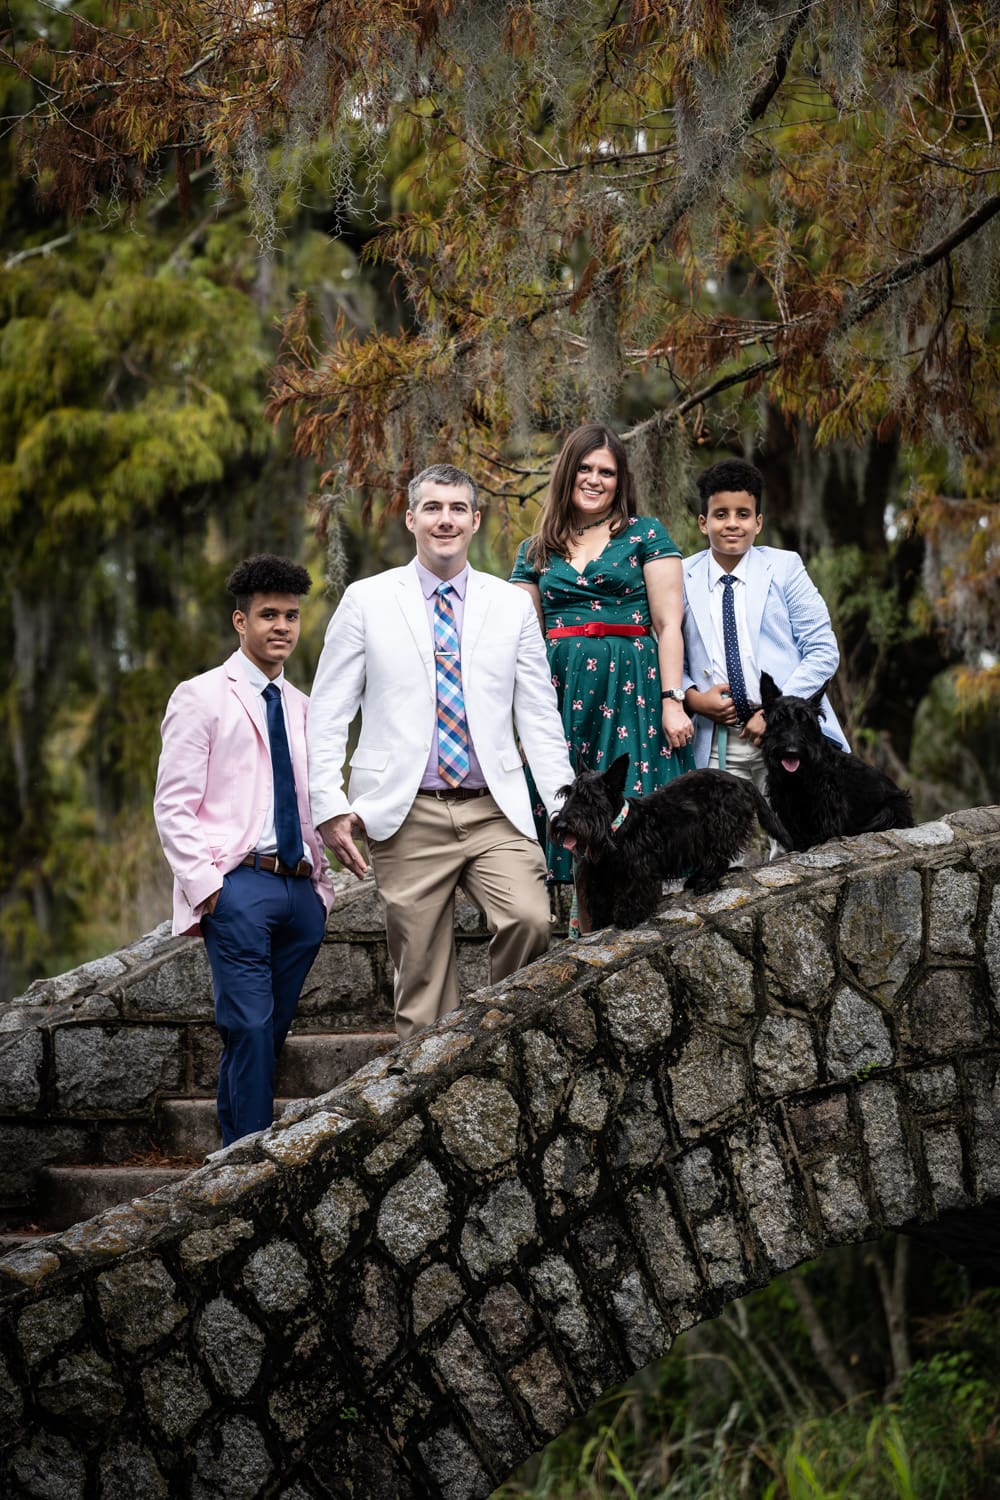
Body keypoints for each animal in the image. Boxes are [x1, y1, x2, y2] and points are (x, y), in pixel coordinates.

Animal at [548, 756, 791, 930]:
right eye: (567, 794)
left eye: (589, 799)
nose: (561, 825)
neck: (616, 831)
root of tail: (741, 781)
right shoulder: (599, 877)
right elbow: (600, 902)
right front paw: (601, 923)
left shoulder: (638, 869)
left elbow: (634, 891)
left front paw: (628, 917)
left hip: (719, 826)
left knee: (719, 859)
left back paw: (705, 883)